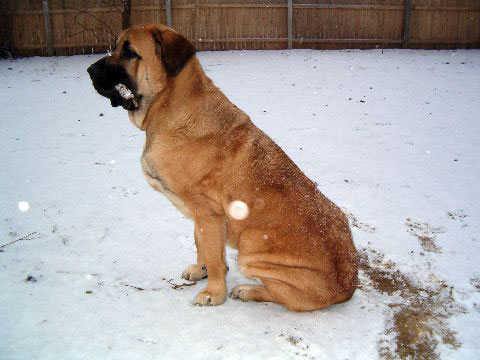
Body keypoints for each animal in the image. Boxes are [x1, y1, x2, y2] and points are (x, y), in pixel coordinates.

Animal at [88, 24, 356, 312]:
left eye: (129, 52)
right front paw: (199, 270)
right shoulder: (199, 214)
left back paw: (248, 290)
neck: (170, 109)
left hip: (251, 242)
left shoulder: (208, 213)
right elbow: (200, 245)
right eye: (115, 45)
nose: (89, 70)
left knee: (282, 297)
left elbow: (215, 259)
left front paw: (214, 294)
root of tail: (348, 285)